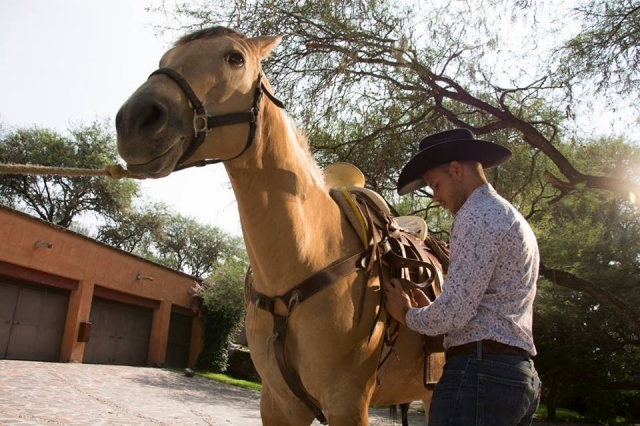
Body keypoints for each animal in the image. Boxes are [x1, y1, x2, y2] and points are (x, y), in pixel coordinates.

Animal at [116, 26, 444, 425]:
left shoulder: (347, 403)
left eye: (235, 58)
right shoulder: (278, 403)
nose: (135, 121)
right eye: (164, 60)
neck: (309, 259)